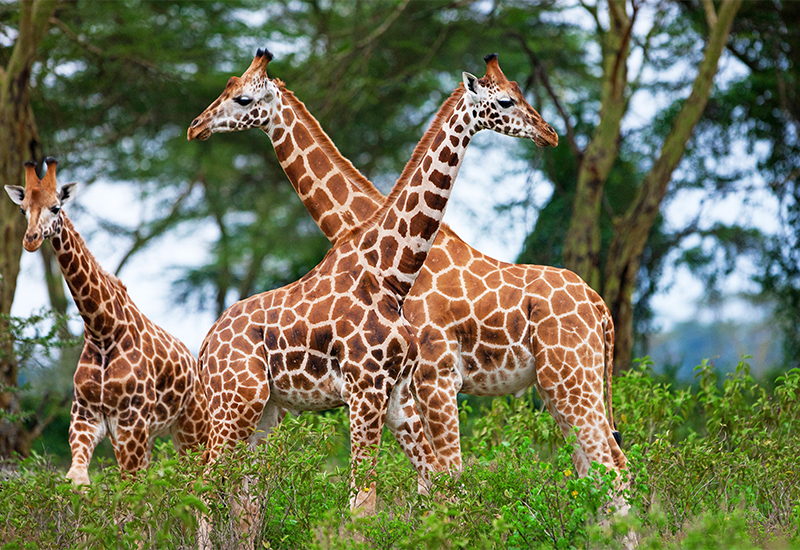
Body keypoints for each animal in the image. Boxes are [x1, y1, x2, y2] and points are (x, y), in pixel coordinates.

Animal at [3, 157, 209, 486]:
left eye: (56, 207)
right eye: (23, 209)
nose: (31, 240)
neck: (102, 331)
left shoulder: (131, 422)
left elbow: (132, 488)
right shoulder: (87, 417)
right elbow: (78, 479)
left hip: (192, 427)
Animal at [189, 49, 632, 486]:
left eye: (242, 98)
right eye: (508, 99)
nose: (196, 126)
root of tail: (600, 307)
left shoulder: (434, 377)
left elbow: (441, 475)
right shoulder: (419, 383)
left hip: (569, 377)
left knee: (610, 465)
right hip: (560, 383)